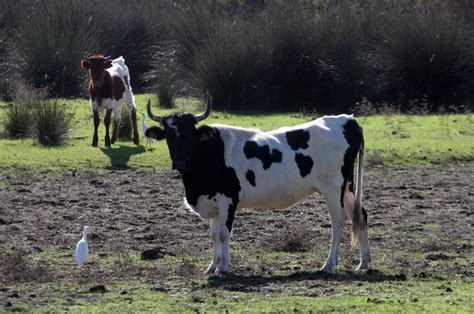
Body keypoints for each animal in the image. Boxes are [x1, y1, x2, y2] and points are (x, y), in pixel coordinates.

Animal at [144, 97, 370, 274]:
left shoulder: (228, 199)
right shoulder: (214, 203)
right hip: (348, 188)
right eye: (169, 135)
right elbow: (214, 235)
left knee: (338, 221)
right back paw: (364, 262)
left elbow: (224, 234)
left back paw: (329, 264)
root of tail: (347, 120)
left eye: (191, 134)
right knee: (360, 215)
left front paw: (223, 268)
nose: (180, 161)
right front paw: (212, 266)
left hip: (333, 187)